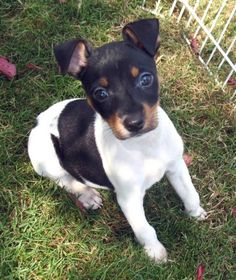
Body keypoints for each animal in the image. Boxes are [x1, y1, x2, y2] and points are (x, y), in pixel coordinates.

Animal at [28, 19, 206, 262]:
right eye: (100, 93)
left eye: (145, 79)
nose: (134, 123)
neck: (143, 144)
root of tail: (39, 120)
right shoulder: (129, 198)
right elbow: (144, 229)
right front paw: (155, 254)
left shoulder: (176, 165)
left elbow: (190, 194)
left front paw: (196, 213)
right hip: (47, 156)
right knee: (65, 179)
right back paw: (88, 196)